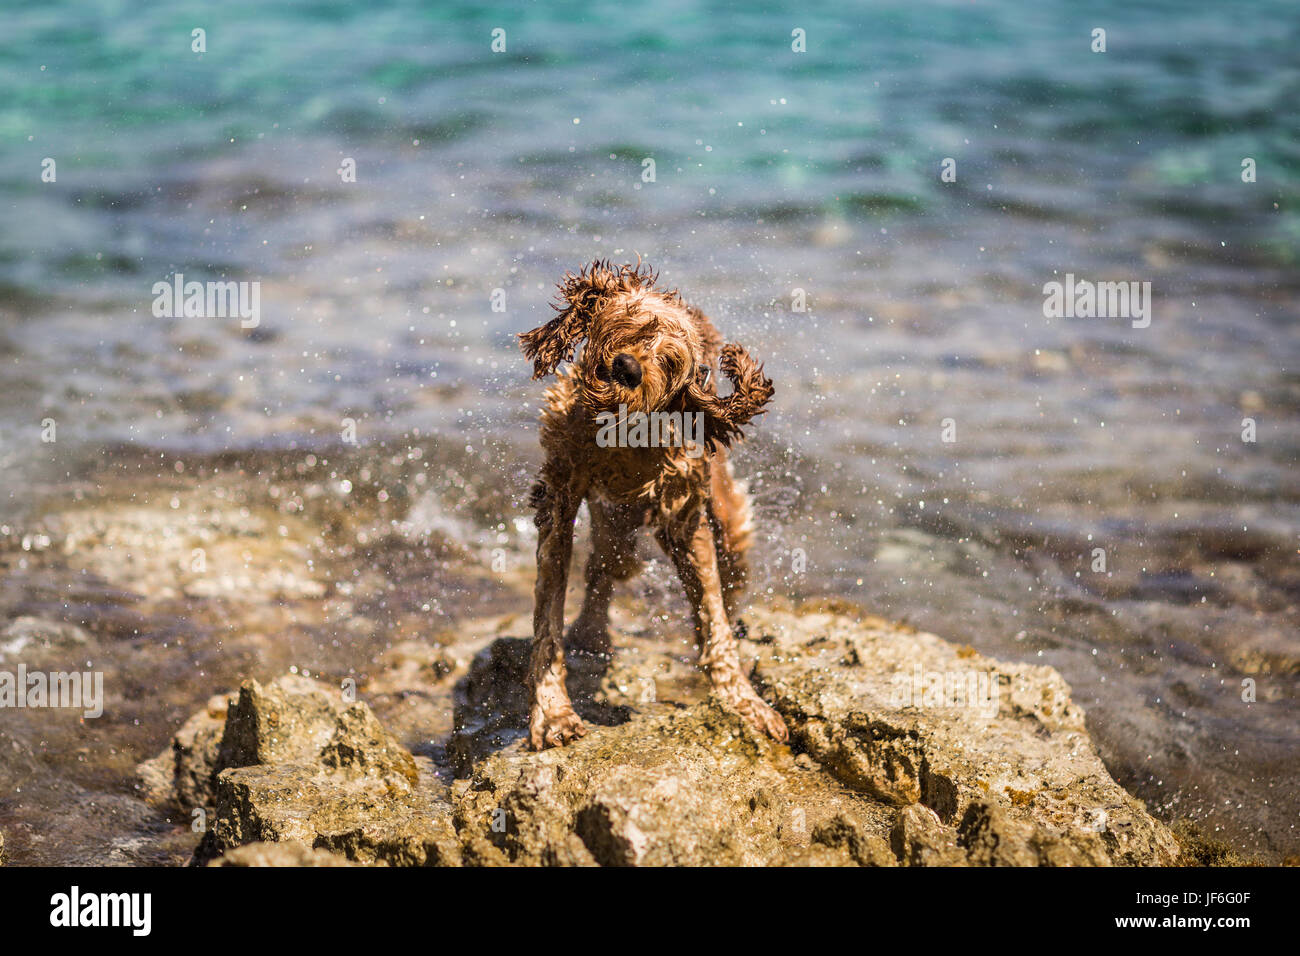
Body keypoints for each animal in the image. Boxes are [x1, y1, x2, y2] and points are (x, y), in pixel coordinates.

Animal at [520, 260, 785, 749]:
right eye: (631, 321)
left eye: (671, 360)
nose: (626, 367)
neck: (620, 438)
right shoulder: (560, 496)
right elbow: (548, 614)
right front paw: (552, 712)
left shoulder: (684, 512)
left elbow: (714, 617)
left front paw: (744, 700)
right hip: (614, 526)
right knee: (605, 568)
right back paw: (592, 633)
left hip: (728, 522)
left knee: (726, 575)